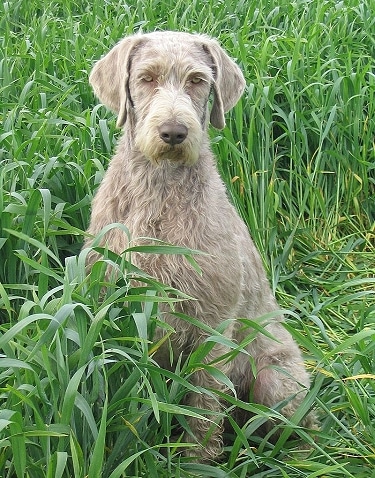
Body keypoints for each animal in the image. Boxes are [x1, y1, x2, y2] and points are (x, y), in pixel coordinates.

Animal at [85, 30, 318, 464]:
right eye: (147, 78)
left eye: (197, 80)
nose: (174, 132)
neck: (159, 190)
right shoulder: (112, 301)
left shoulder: (212, 322)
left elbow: (204, 400)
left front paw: (198, 461)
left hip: (275, 378)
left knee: (297, 428)